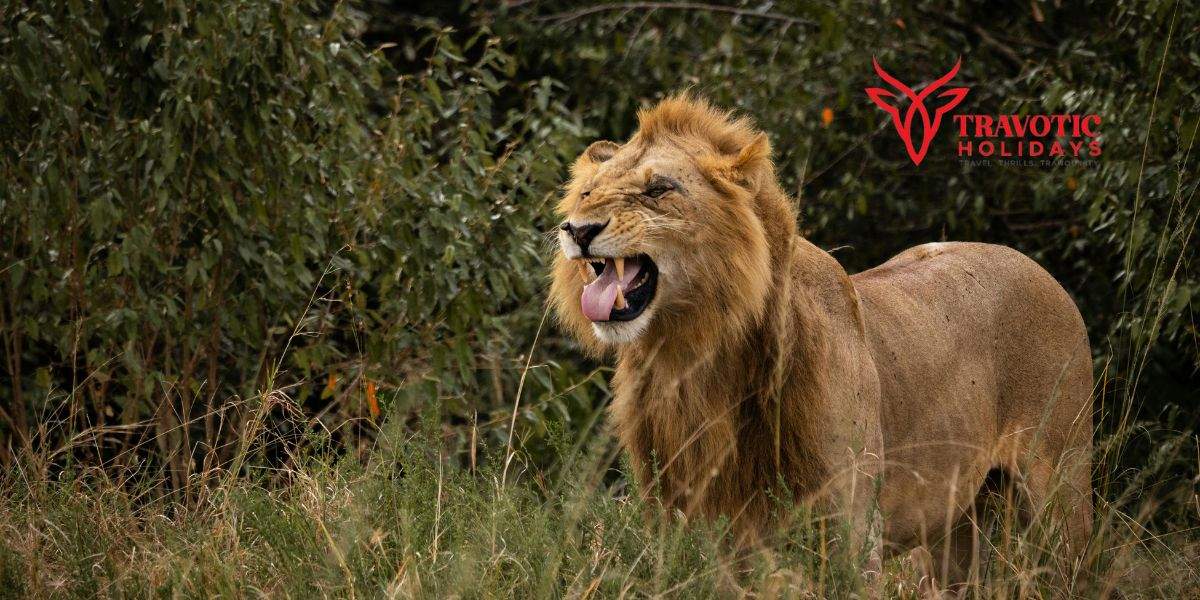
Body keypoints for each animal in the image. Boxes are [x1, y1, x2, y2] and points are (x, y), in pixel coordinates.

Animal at [548, 95, 1093, 584]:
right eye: (587, 193)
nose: (577, 229)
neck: (694, 354)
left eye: (659, 189)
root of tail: (1039, 270)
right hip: (954, 529)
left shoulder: (851, 530)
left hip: (1062, 492)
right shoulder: (688, 527)